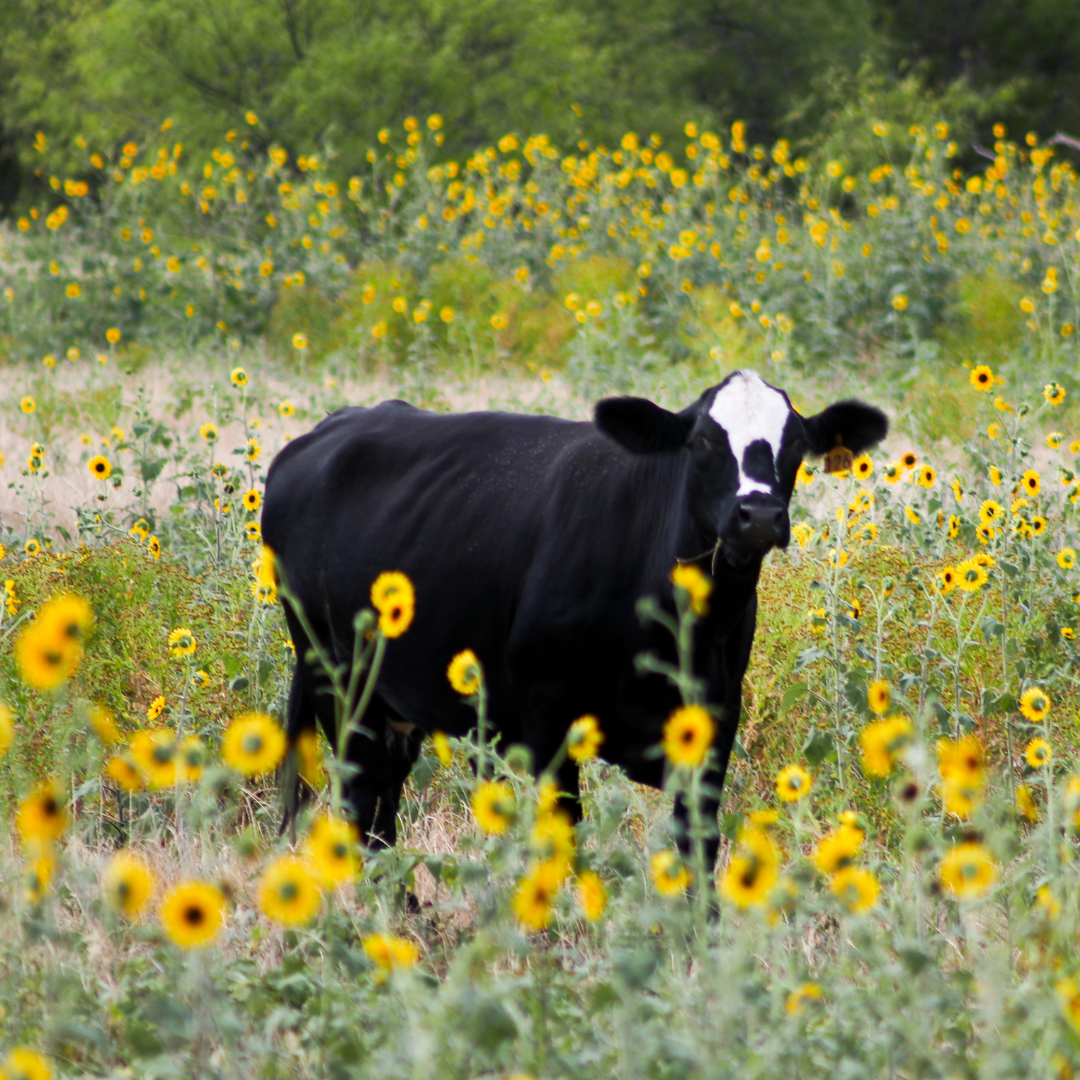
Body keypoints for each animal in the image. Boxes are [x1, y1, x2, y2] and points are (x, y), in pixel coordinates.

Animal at [263, 375, 885, 864]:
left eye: (796, 444)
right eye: (703, 441)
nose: (758, 514)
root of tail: (332, 427)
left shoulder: (716, 717)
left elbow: (698, 848)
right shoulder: (548, 717)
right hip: (337, 683)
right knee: (365, 813)